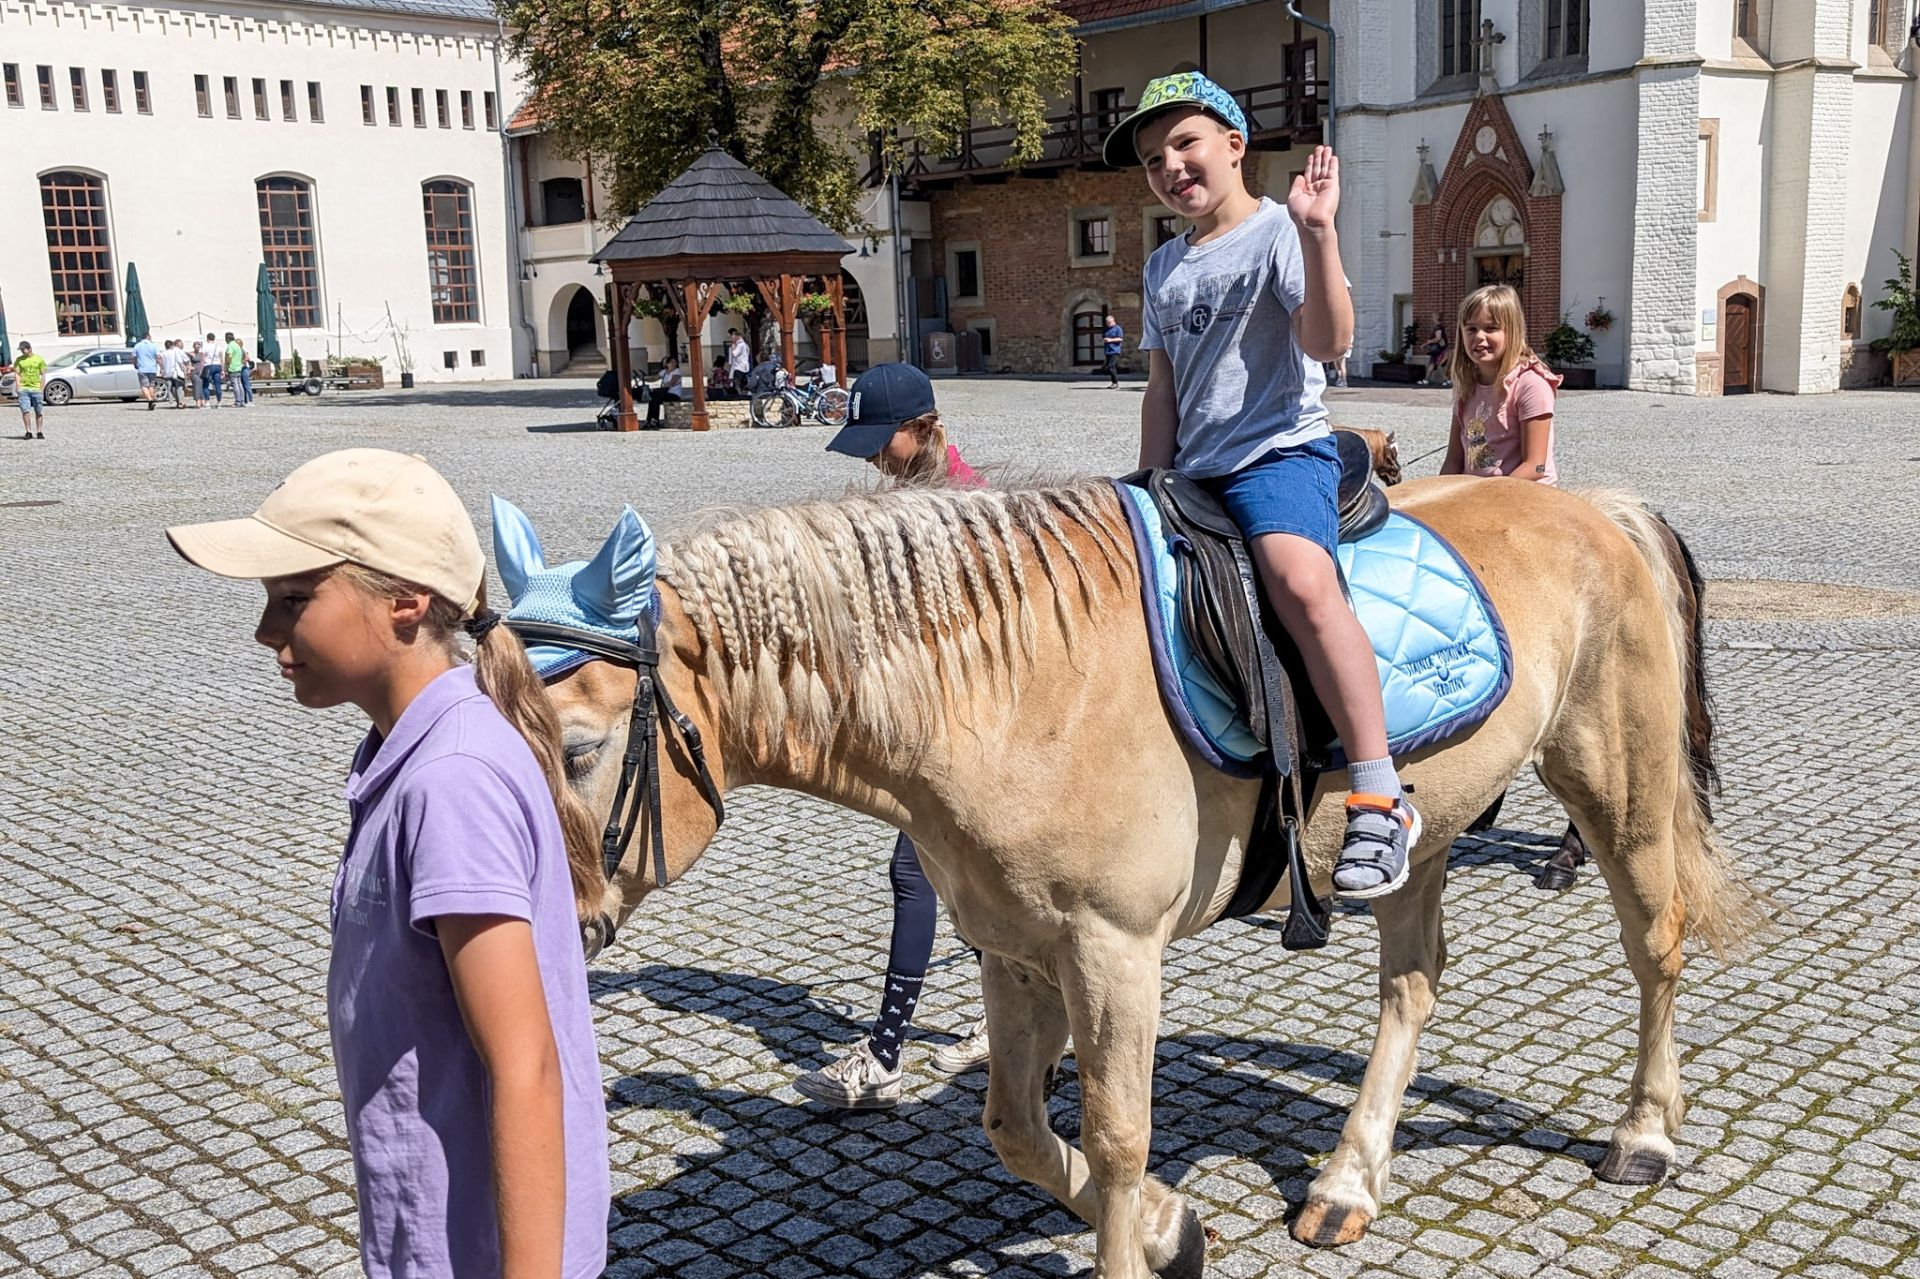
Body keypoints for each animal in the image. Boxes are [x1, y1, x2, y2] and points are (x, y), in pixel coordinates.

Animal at [526, 472, 1758, 1267]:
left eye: (580, 749)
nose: (540, 925)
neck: (1007, 690)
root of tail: (1595, 504)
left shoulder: (1113, 953)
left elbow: (1118, 1141)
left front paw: (1148, 1223)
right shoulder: (1014, 949)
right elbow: (1017, 1125)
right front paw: (1174, 1229)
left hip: (1614, 782)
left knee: (1655, 941)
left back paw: (1645, 1132)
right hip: (1425, 826)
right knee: (1412, 982)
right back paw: (1348, 1182)